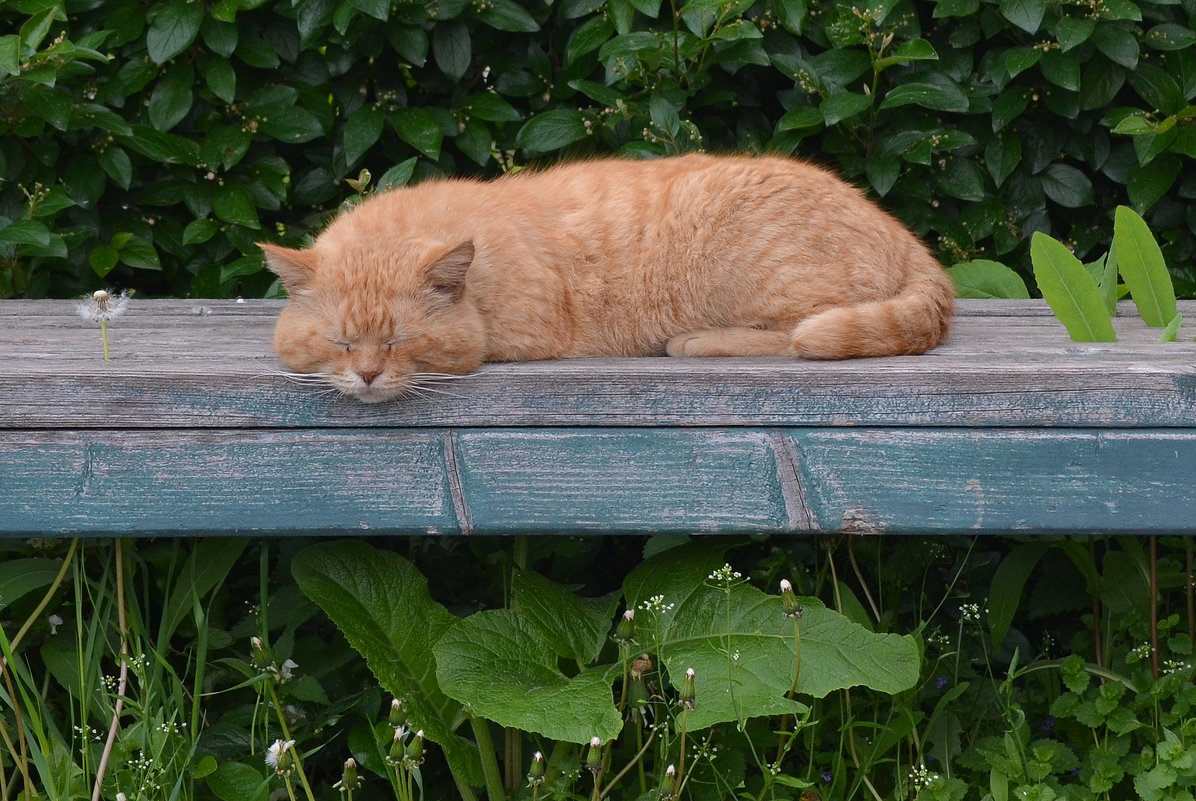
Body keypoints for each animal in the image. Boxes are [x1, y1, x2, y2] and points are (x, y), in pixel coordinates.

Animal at [261, 152, 952, 401]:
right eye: (340, 343)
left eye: (399, 342)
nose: (367, 375)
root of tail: (898, 230)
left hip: (782, 292)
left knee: (800, 335)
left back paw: (696, 341)